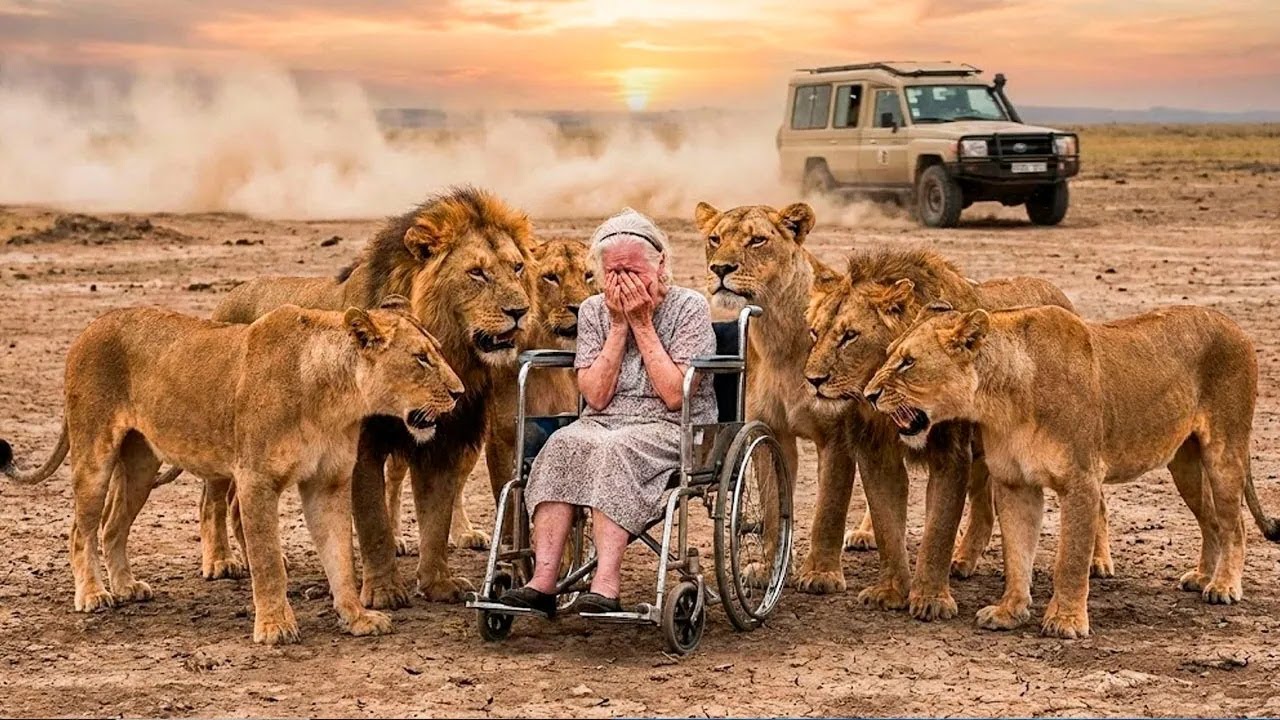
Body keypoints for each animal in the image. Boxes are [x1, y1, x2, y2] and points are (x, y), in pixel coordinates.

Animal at [0, 300, 463, 644]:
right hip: (94, 453)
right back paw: (94, 594)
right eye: (421, 359)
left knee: (113, 525)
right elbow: (268, 561)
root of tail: (90, 327)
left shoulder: (327, 484)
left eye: (439, 351)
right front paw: (275, 626)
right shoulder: (256, 479)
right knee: (81, 529)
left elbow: (340, 559)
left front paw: (356, 618)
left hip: (141, 464)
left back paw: (127, 587)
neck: (335, 400)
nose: (459, 393)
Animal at [179, 186, 538, 605]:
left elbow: (436, 518)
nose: (520, 311)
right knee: (211, 499)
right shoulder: (362, 446)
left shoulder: (443, 444)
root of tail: (228, 296)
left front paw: (438, 584)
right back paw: (221, 561)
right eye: (476, 272)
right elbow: (374, 521)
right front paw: (385, 591)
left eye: (517, 268)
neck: (455, 352)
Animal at [801, 249, 1111, 620]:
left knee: (1098, 499)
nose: (813, 380)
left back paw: (1098, 562)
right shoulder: (876, 454)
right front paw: (890, 592)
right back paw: (962, 559)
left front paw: (931, 599)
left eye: (850, 335)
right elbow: (887, 526)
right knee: (984, 507)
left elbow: (939, 528)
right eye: (814, 333)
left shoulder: (951, 453)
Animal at [864, 303, 1280, 637]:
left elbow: (1071, 557)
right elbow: (1017, 554)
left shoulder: (1081, 480)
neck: (1003, 401)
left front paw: (1066, 622)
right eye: (888, 354)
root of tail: (1235, 326)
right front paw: (1009, 612)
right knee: (1211, 520)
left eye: (908, 362)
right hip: (1185, 465)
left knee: (1234, 525)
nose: (868, 395)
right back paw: (1202, 577)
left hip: (1225, 451)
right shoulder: (1015, 484)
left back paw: (1223, 587)